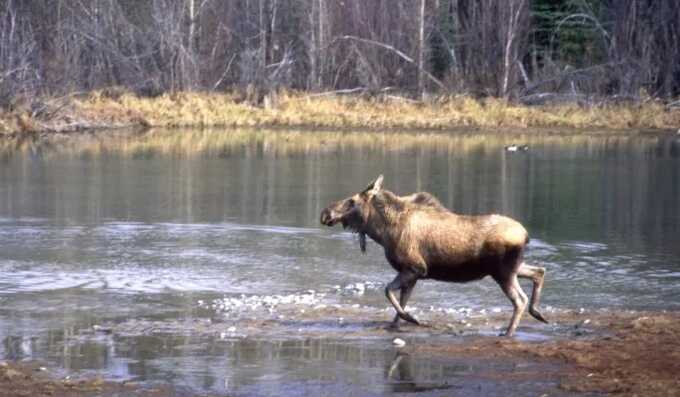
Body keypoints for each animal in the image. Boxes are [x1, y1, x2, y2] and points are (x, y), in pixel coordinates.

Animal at [322, 175, 548, 336]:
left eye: (351, 201)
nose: (325, 213)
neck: (382, 232)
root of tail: (525, 235)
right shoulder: (412, 274)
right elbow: (401, 300)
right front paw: (397, 323)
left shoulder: (415, 268)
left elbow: (388, 291)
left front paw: (412, 318)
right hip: (512, 268)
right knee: (539, 271)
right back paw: (538, 313)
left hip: (503, 272)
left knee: (520, 299)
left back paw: (509, 332)